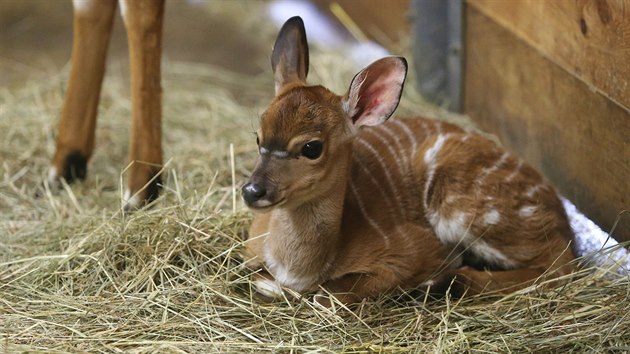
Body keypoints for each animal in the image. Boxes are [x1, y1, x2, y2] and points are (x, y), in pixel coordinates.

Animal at [242, 16, 576, 304]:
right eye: (258, 137)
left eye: (312, 147)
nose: (252, 190)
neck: (298, 269)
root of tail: (560, 214)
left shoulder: (413, 250)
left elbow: (330, 295)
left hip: (468, 207)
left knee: (560, 263)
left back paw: (441, 284)